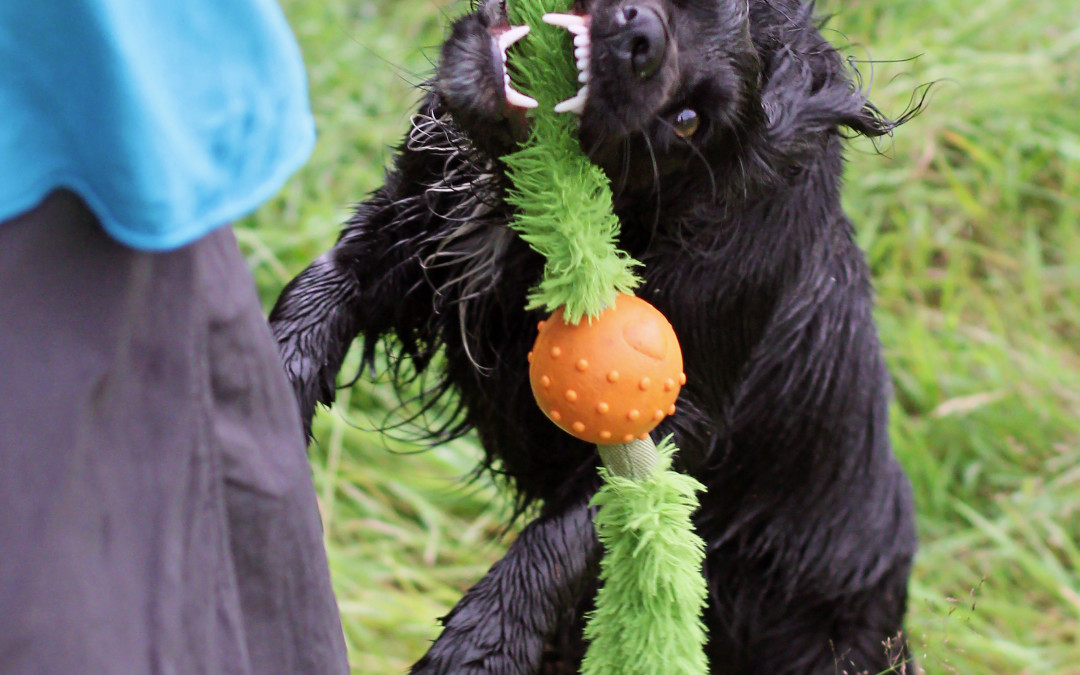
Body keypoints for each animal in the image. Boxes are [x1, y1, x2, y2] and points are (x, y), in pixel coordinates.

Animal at [270, 1, 920, 669]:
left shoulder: (683, 407)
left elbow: (570, 535)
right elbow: (316, 298)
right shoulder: (402, 233)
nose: (639, 39)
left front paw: (480, 646)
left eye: (688, 122)